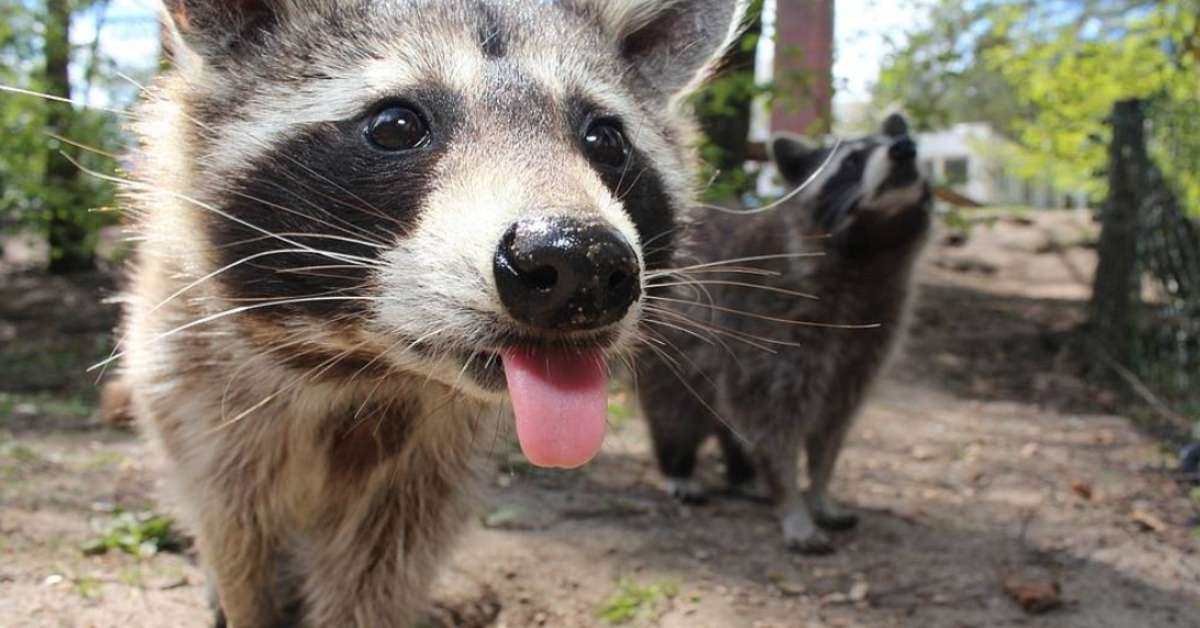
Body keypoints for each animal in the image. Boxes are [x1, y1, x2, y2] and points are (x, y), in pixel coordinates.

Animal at [116, 1, 744, 625]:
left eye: (606, 139)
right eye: (396, 125)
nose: (579, 262)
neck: (365, 365)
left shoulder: (431, 466)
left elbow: (382, 568)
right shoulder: (199, 396)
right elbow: (239, 540)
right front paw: (247, 601)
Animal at [636, 114, 931, 554]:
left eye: (906, 142)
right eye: (851, 161)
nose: (904, 148)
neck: (870, 251)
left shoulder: (869, 337)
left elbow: (833, 424)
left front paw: (821, 488)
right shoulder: (768, 320)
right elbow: (772, 422)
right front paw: (791, 499)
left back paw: (742, 475)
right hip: (670, 351)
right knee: (674, 411)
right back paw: (679, 467)